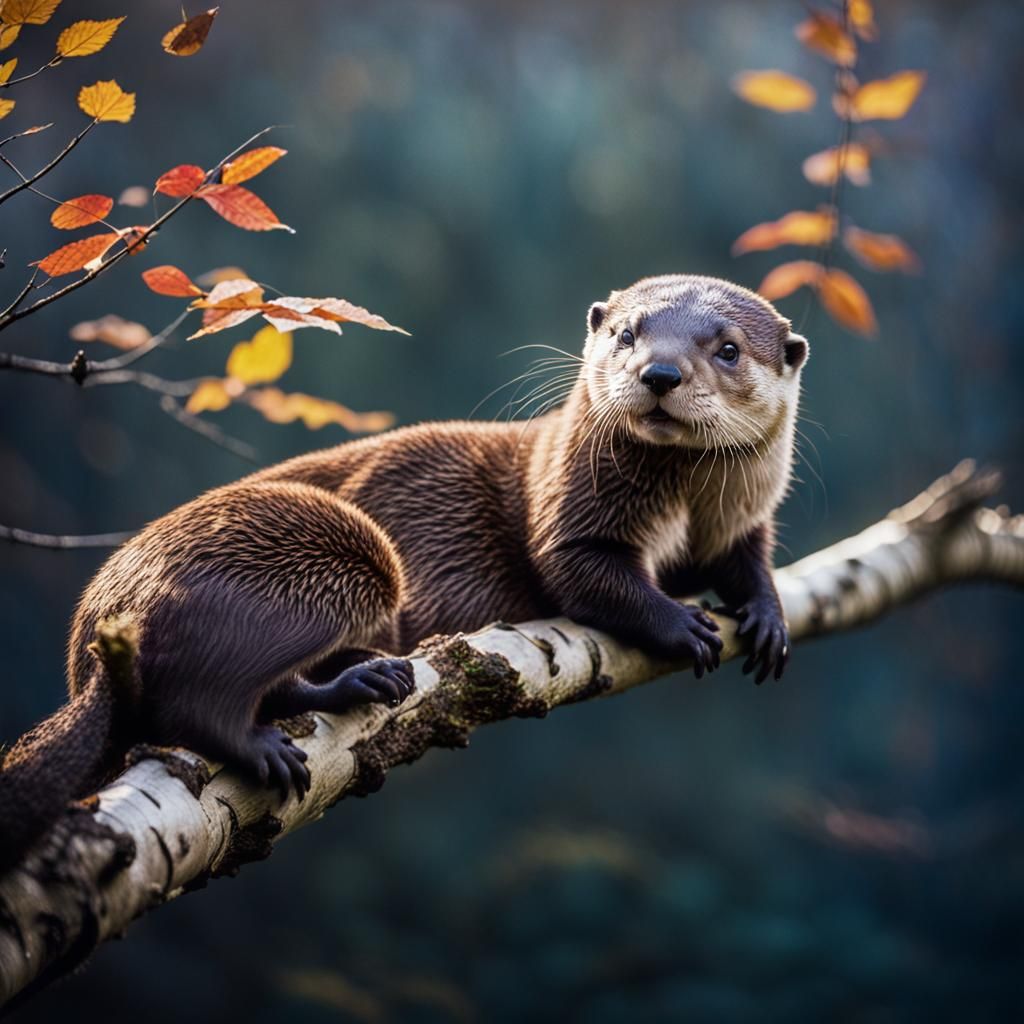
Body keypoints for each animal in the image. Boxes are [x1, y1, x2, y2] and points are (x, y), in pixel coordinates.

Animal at [0, 274, 808, 870]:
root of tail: (99, 624)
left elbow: (749, 561)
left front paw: (767, 617)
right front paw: (683, 625)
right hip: (332, 554)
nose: (660, 372)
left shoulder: (741, 519)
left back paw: (365, 679)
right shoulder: (571, 507)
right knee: (193, 701)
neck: (686, 510)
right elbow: (587, 575)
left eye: (727, 348)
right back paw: (268, 739)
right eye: (627, 333)